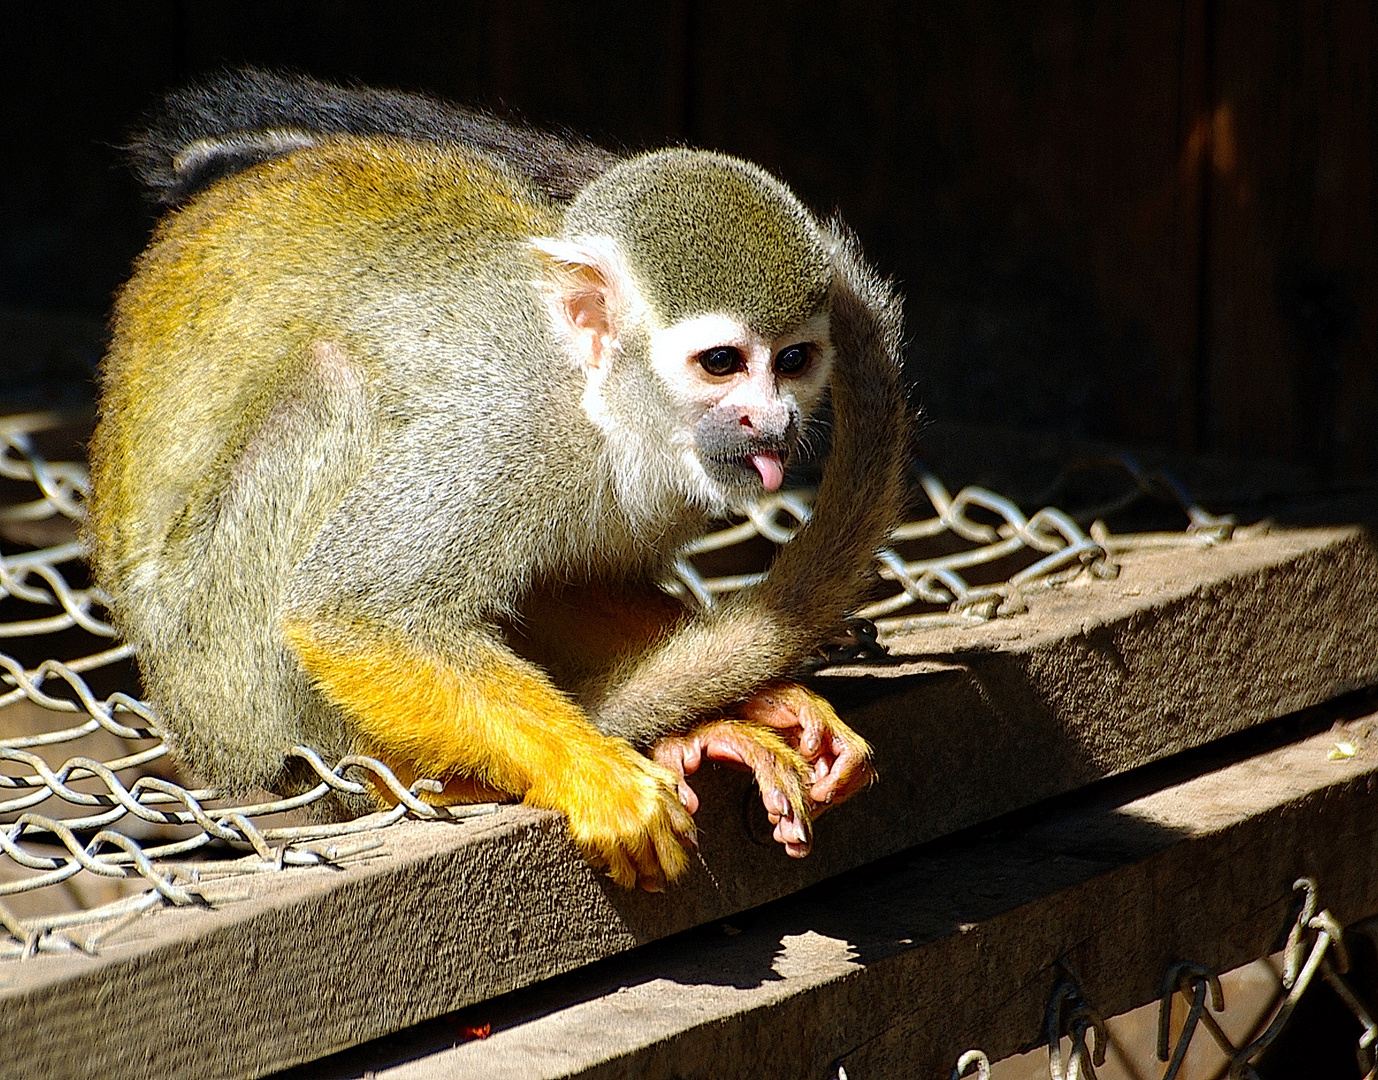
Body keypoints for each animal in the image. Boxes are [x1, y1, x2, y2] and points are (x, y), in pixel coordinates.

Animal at [86, 71, 909, 892]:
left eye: (794, 361)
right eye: (722, 363)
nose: (774, 423)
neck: (598, 407)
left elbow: (570, 585)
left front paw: (761, 699)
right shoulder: (508, 429)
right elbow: (352, 609)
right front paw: (592, 771)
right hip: (218, 675)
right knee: (336, 385)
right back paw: (398, 781)